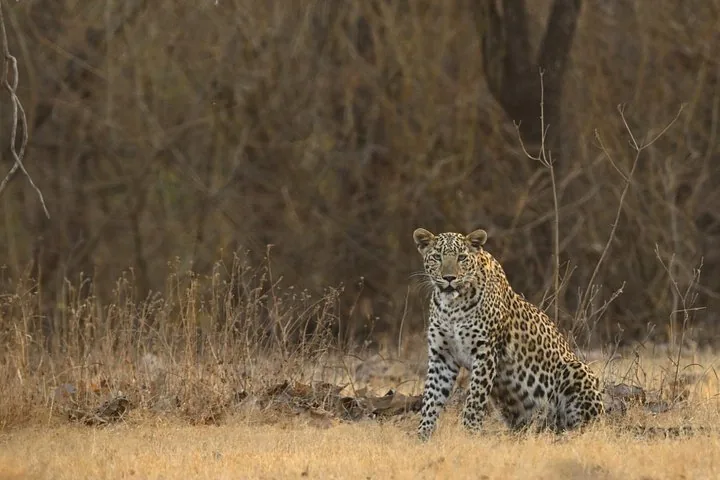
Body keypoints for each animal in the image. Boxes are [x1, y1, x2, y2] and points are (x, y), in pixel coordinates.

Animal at [412, 227, 604, 441]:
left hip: (577, 370)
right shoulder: (441, 356)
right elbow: (431, 399)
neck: (451, 307)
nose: (449, 278)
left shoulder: (485, 352)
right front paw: (422, 437)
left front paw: (469, 435)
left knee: (588, 427)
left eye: (461, 258)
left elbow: (474, 399)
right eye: (437, 257)